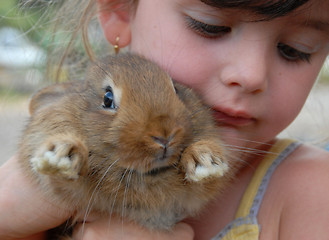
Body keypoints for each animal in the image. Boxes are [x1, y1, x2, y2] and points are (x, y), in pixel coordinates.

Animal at [18, 53, 236, 238]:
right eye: (107, 99)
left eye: (176, 89)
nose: (164, 134)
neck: (148, 174)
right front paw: (63, 153)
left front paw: (204, 158)